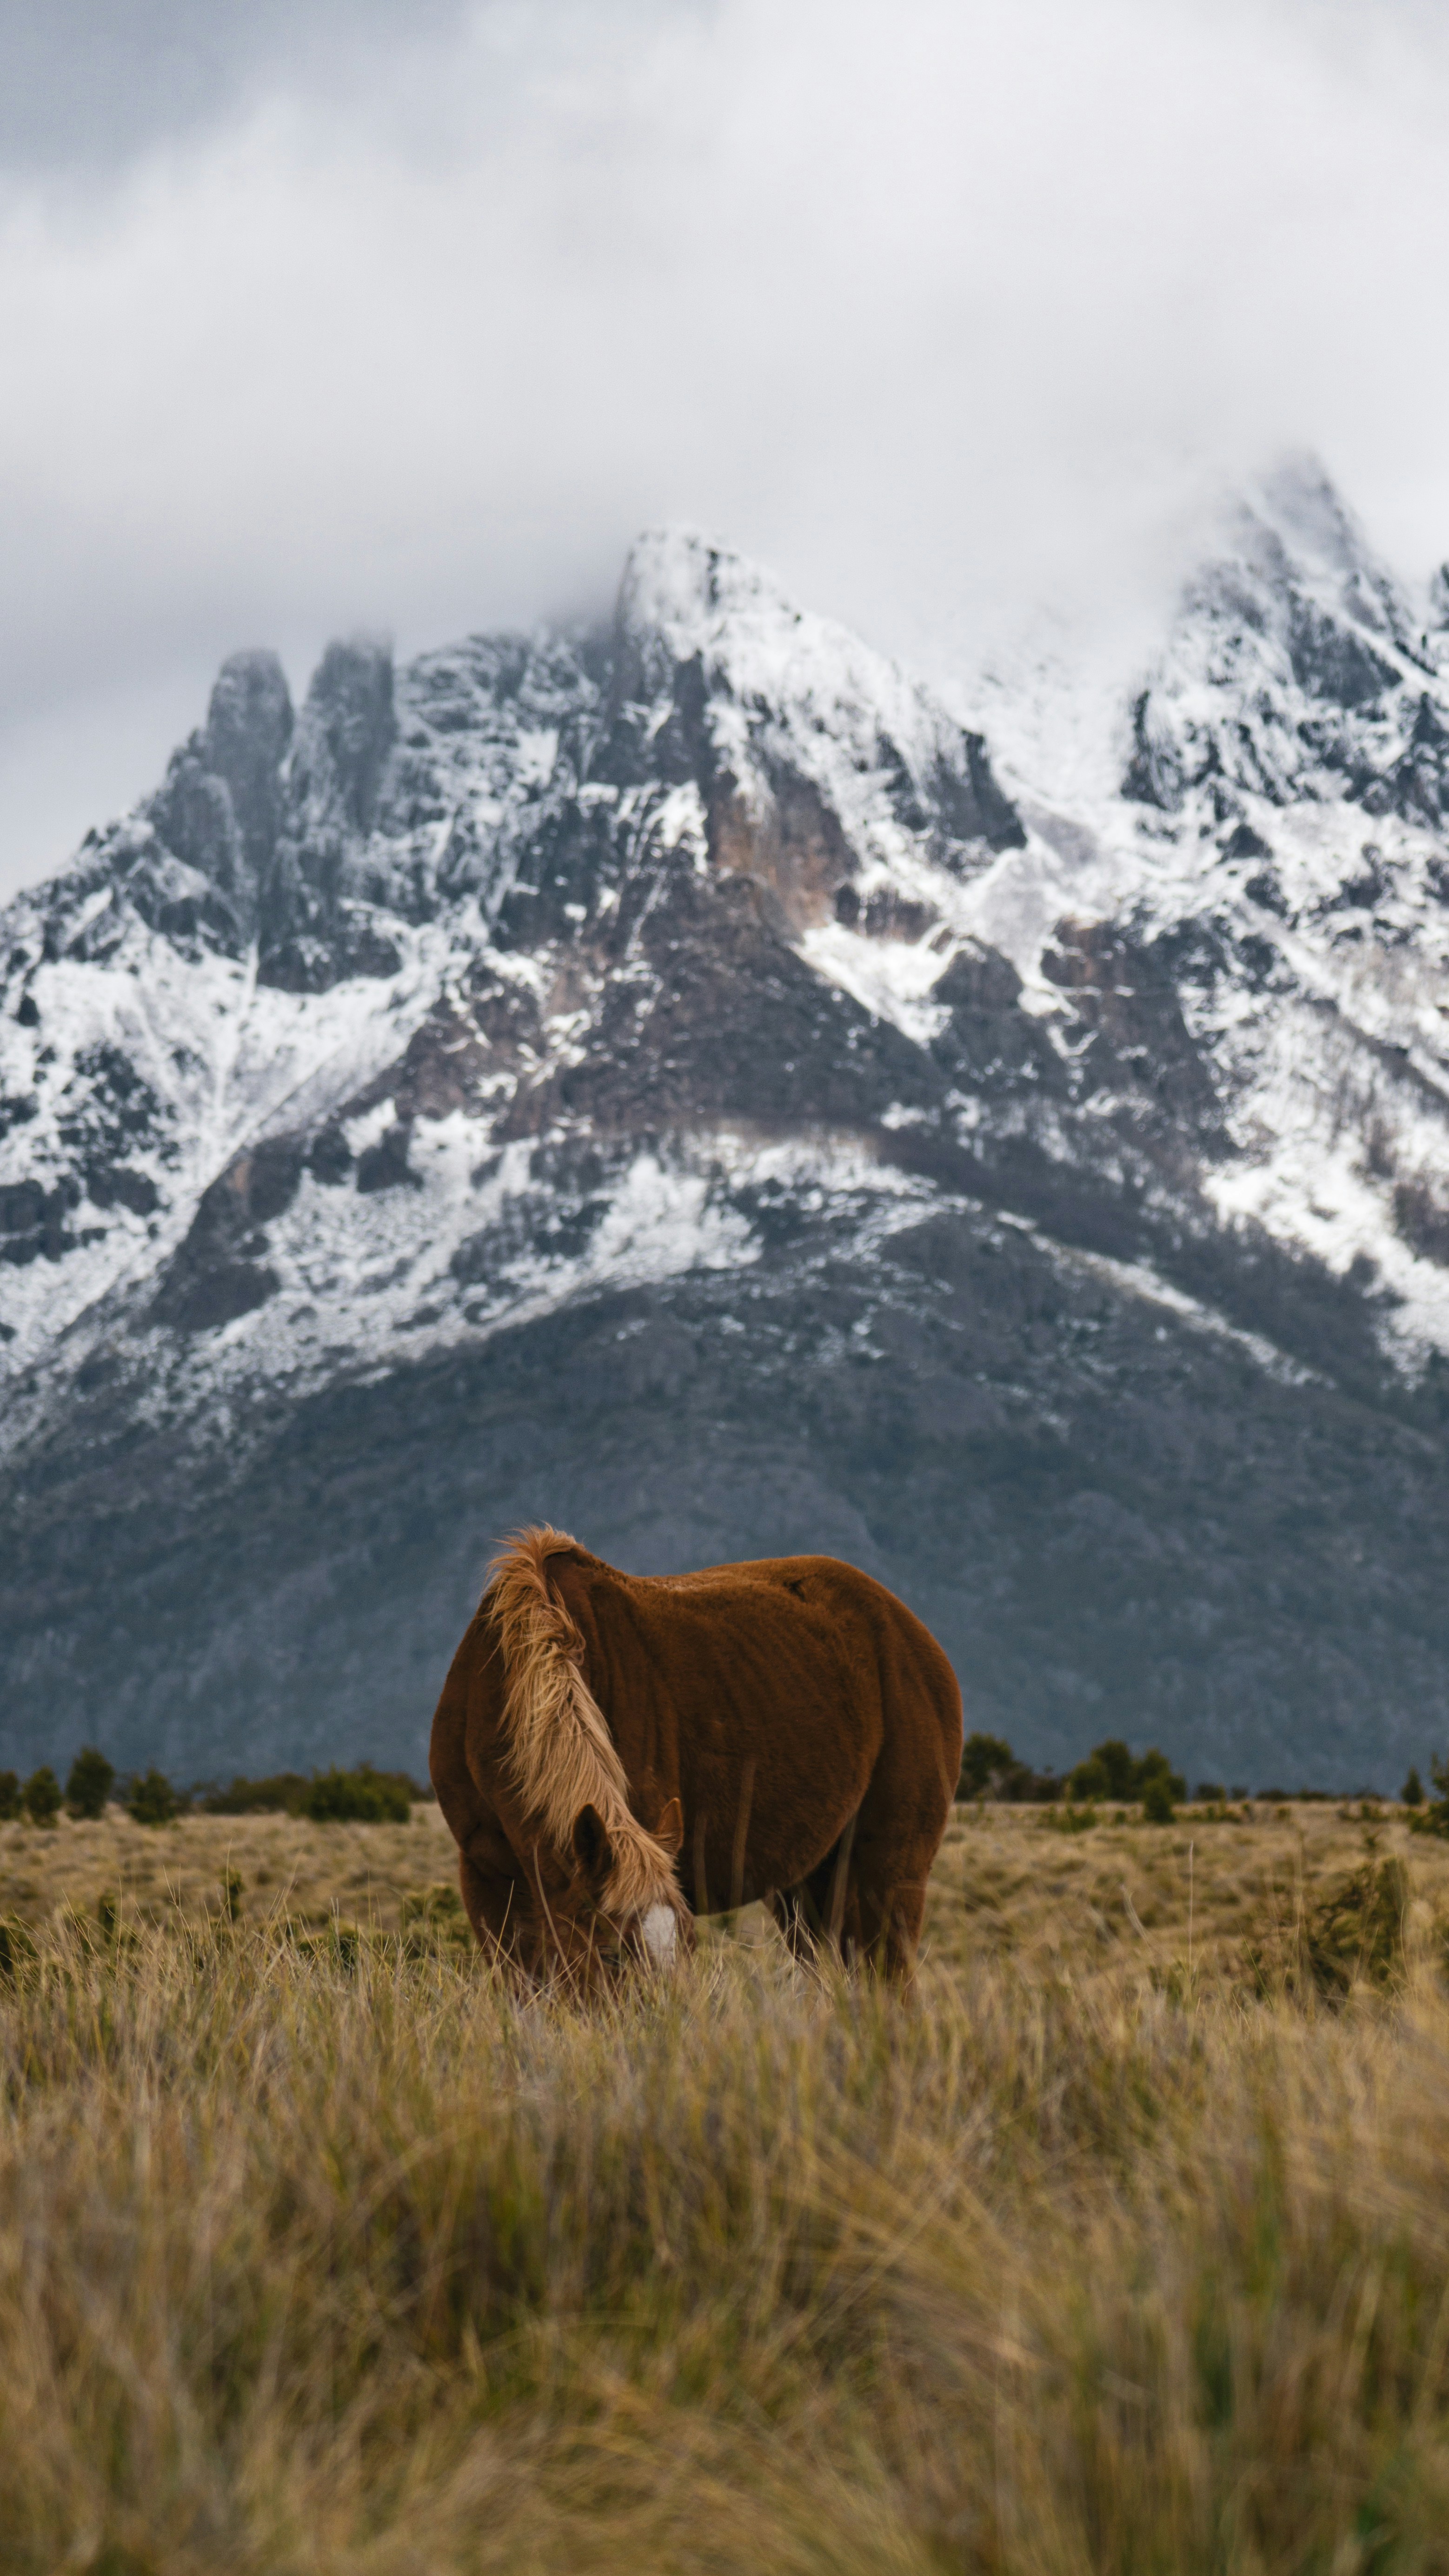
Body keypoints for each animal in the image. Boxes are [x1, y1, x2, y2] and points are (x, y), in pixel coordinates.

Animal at [428, 1525, 963, 1985]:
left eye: (687, 1946)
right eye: (611, 1954)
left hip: (888, 1875)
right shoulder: (489, 1884)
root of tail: (911, 1630)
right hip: (806, 1888)